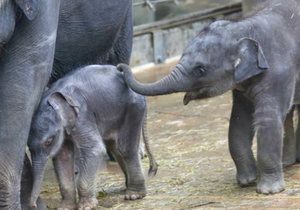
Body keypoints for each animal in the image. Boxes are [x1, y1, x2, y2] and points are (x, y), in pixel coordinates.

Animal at [27, 65, 158, 209]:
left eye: (48, 142)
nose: (33, 205)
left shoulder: (82, 115)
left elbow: (94, 149)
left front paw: (86, 206)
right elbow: (63, 157)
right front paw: (65, 207)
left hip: (133, 108)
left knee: (125, 149)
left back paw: (134, 195)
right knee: (115, 148)